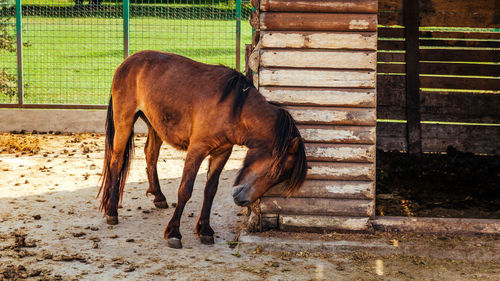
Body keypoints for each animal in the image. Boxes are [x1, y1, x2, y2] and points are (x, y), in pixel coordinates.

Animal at [97, 49, 306, 247]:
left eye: (281, 177)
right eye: (276, 171)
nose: (243, 200)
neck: (235, 108)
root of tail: (126, 62)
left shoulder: (222, 152)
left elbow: (210, 190)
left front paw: (205, 229)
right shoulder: (197, 150)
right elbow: (185, 189)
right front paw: (174, 233)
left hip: (155, 124)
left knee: (151, 154)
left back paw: (158, 196)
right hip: (124, 121)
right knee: (116, 162)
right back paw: (112, 211)